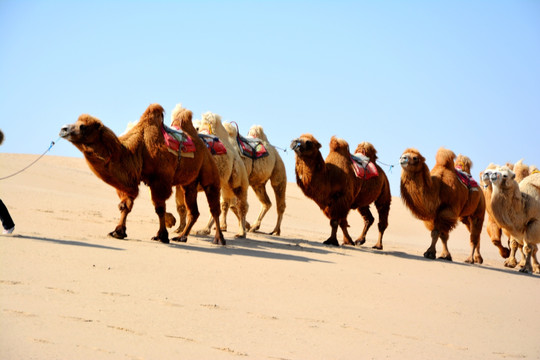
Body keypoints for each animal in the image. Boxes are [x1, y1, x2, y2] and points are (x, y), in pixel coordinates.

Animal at [60, 102, 225, 246]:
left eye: (83, 126)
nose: (63, 129)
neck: (138, 149)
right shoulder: (131, 180)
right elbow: (125, 205)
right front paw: (118, 232)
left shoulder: (160, 180)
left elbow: (159, 208)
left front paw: (162, 236)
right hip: (189, 182)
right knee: (194, 210)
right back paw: (182, 237)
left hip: (209, 172)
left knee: (214, 206)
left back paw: (219, 239)